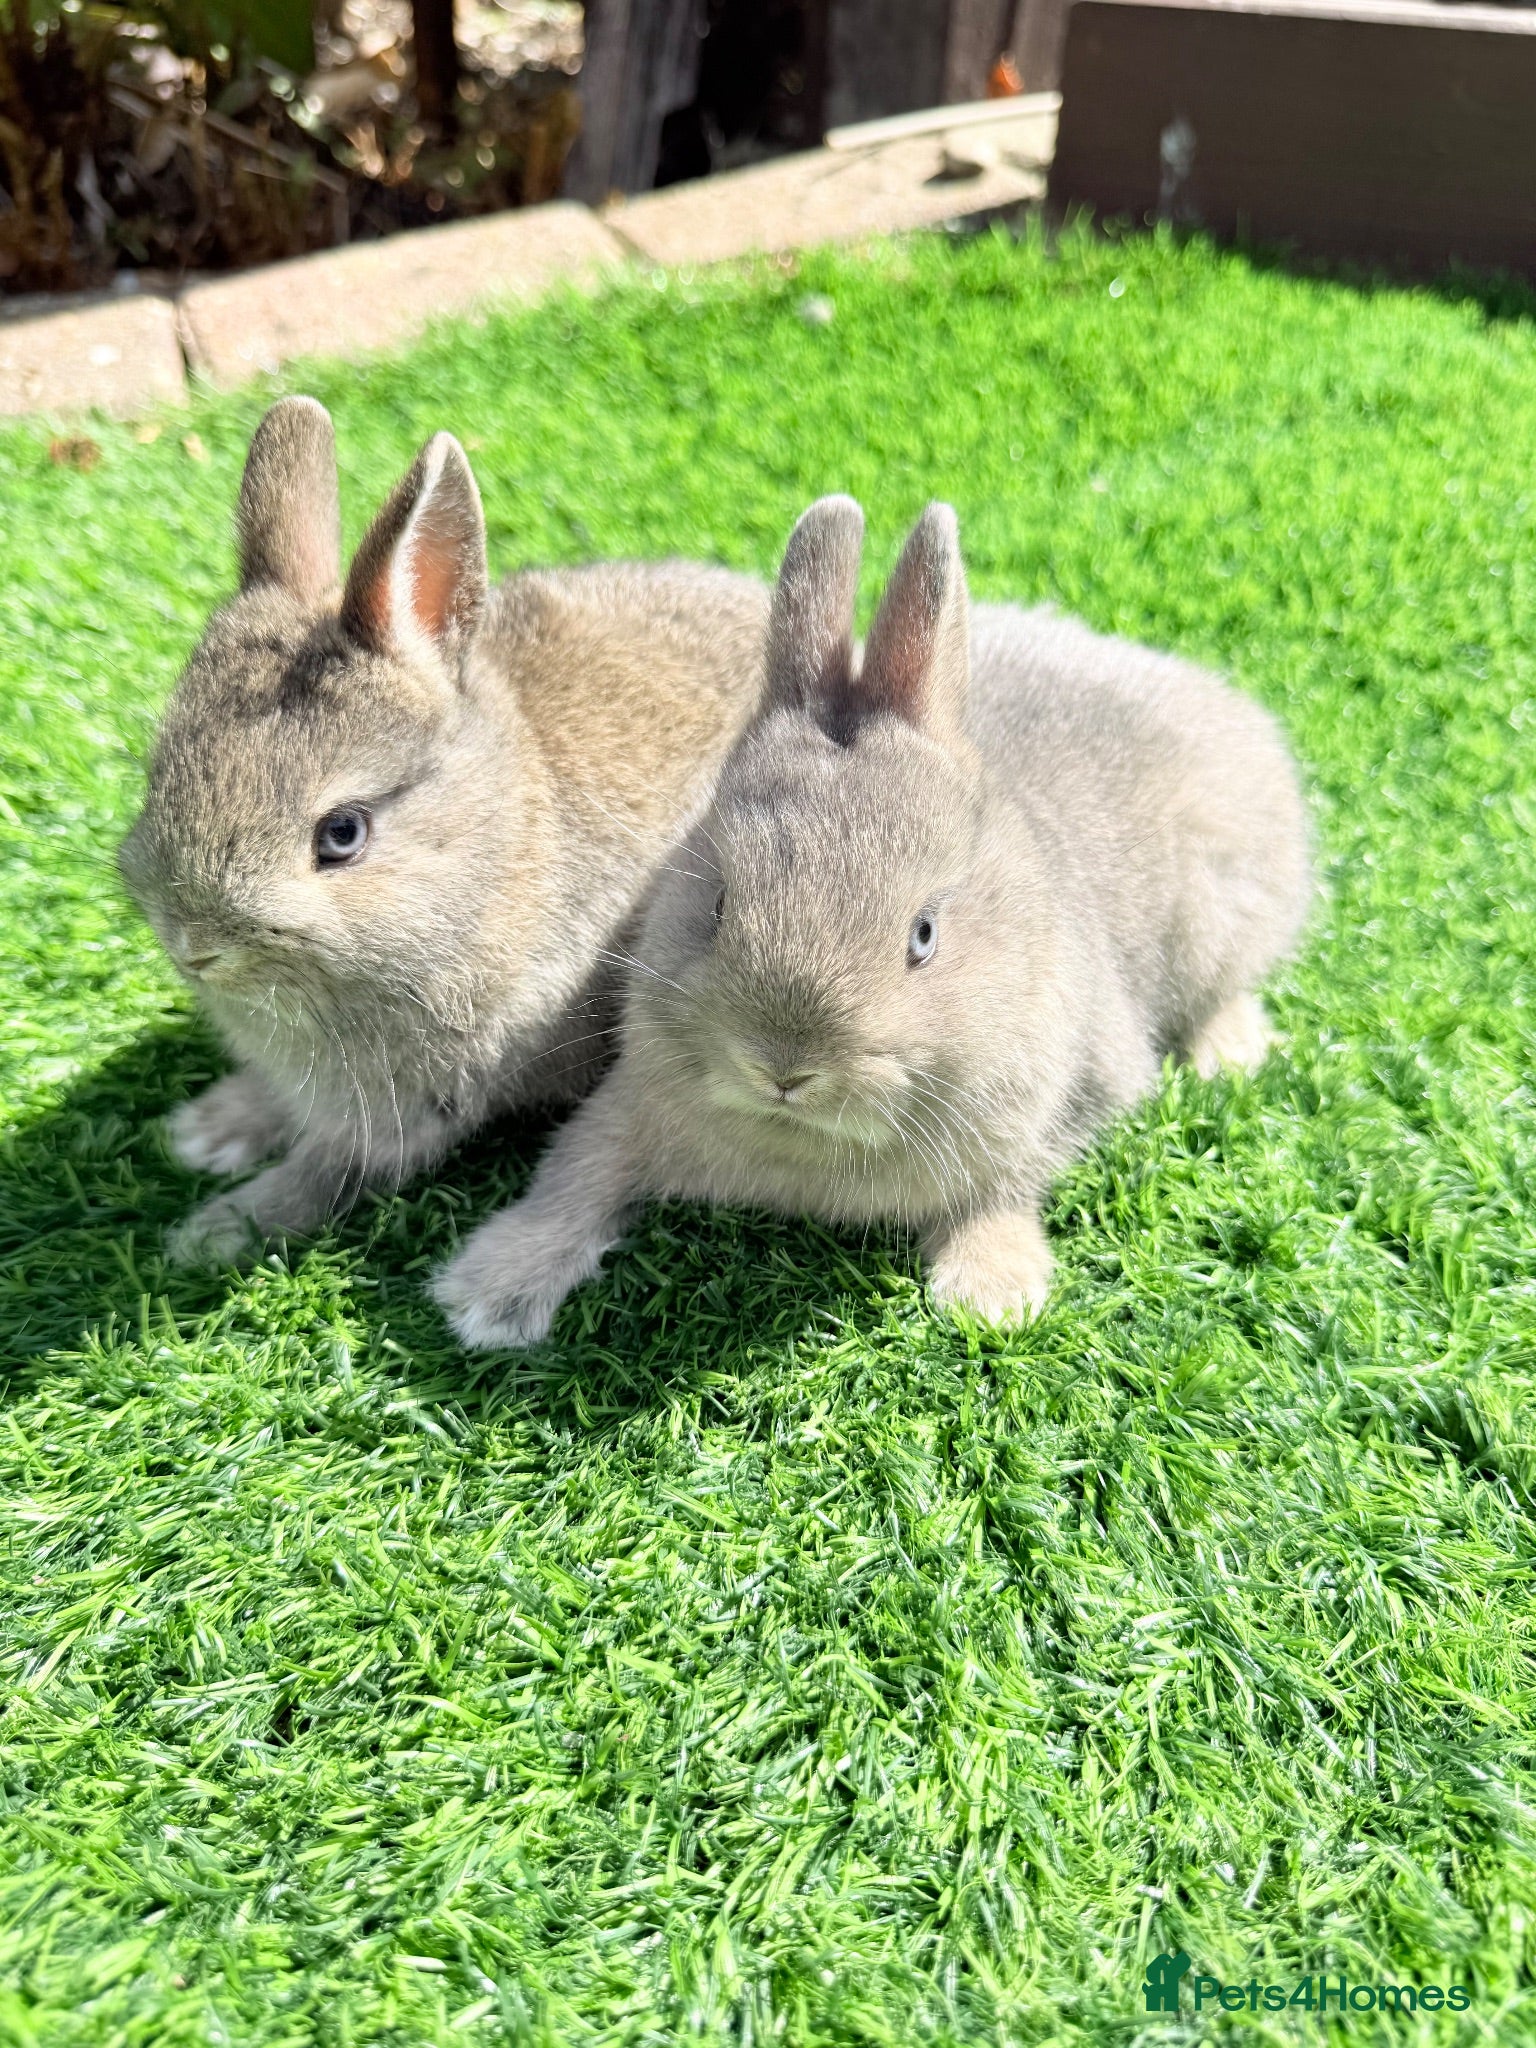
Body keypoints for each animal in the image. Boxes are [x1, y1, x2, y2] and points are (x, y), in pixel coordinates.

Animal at [119, 395, 770, 1265]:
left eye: (342, 834)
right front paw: (208, 1130)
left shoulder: (415, 1112)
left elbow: (327, 1171)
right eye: (160, 773)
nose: (195, 947)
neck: (490, 850)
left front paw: (212, 1232)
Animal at [432, 493, 1312, 1347]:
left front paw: (991, 1299)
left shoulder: (1060, 1101)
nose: (784, 1068)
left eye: (924, 936)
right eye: (717, 903)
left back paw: (1230, 1058)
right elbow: (575, 1178)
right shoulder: (621, 1111)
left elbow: (1004, 1191)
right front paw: (487, 1297)